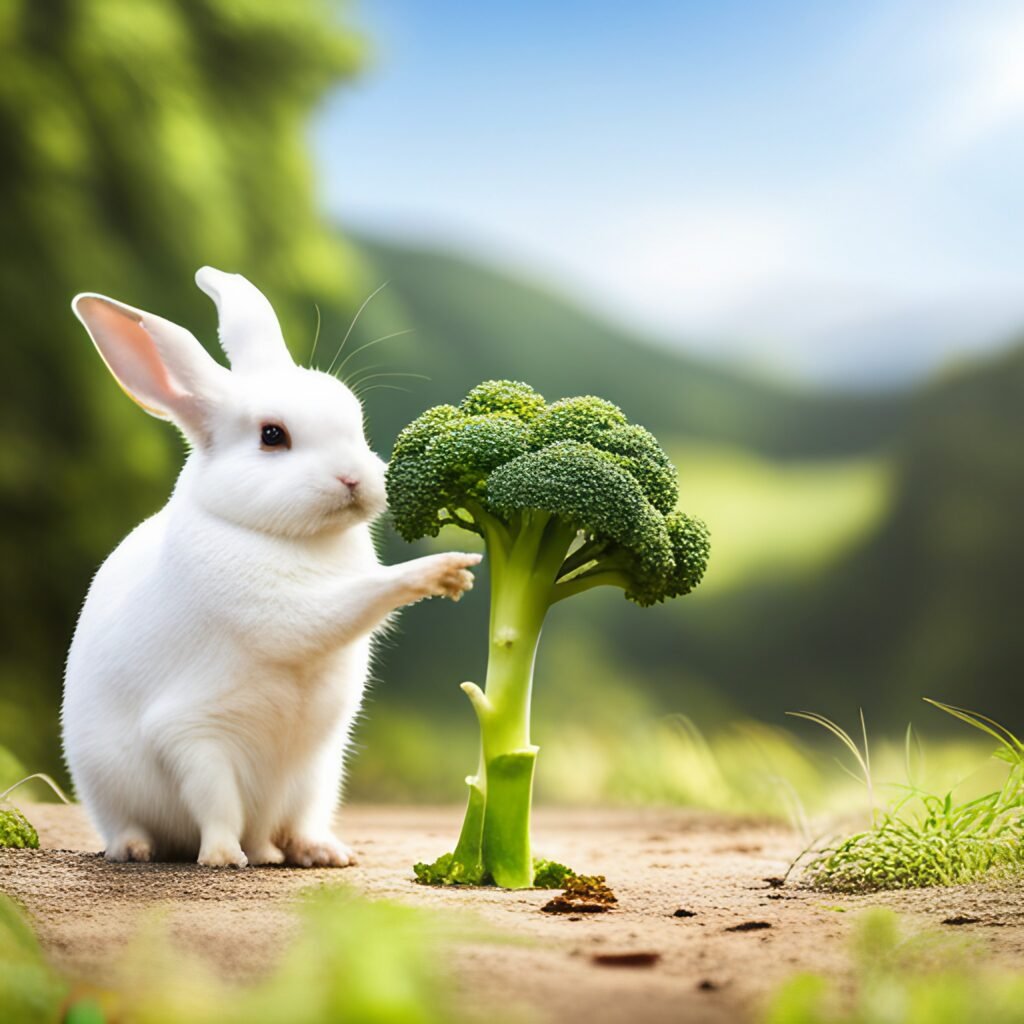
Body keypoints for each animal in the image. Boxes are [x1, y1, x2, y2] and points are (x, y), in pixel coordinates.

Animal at [62, 267, 481, 868]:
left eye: (355, 420)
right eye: (272, 436)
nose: (355, 479)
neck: (293, 539)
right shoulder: (196, 728)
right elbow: (342, 606)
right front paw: (440, 571)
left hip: (317, 770)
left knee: (293, 823)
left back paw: (318, 853)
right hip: (136, 776)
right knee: (168, 820)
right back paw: (153, 849)